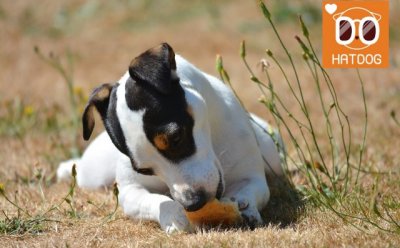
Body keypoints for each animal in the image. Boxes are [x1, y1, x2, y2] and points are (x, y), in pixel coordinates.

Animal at [57, 41, 284, 233]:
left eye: (176, 137)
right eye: (144, 170)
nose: (193, 203)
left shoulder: (252, 178)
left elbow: (250, 191)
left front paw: (245, 206)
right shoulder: (130, 190)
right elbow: (154, 201)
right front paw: (172, 215)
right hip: (94, 175)